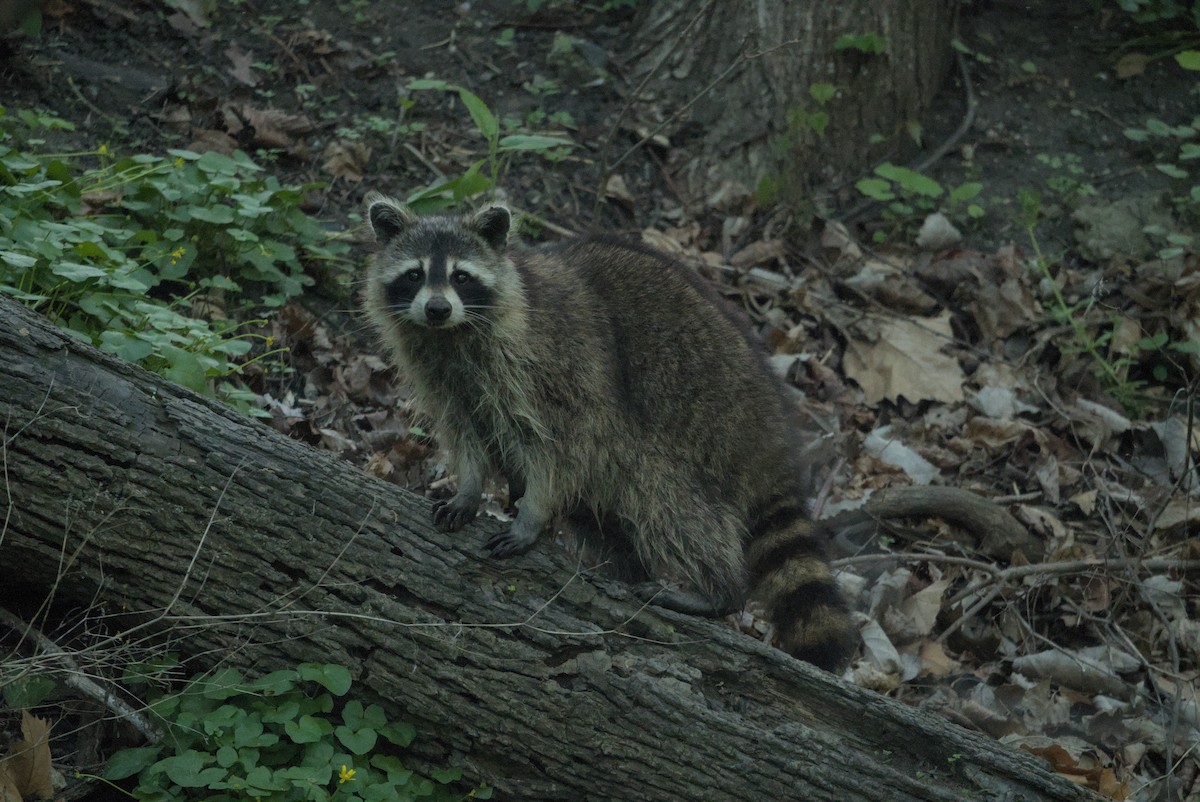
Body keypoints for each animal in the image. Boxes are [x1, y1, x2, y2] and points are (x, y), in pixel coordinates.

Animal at [362, 192, 857, 671]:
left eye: (461, 276)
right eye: (414, 274)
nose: (437, 308)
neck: (452, 334)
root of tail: (771, 436)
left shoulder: (556, 364)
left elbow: (560, 447)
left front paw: (531, 515)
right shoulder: (443, 377)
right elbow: (464, 433)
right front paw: (468, 488)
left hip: (705, 428)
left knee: (667, 498)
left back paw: (718, 590)